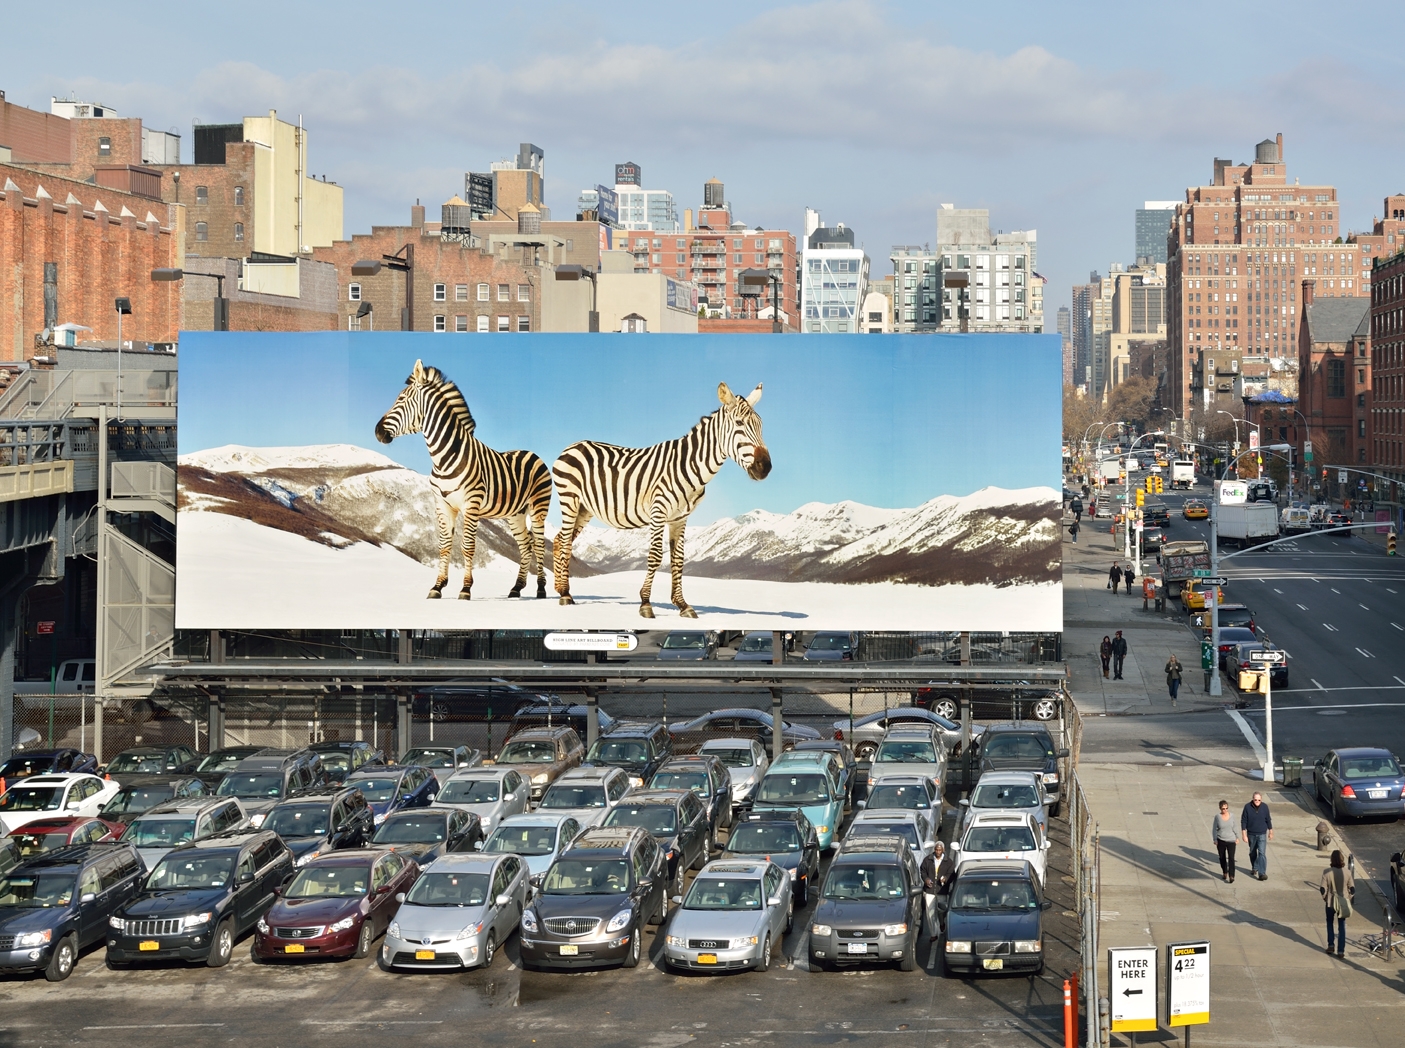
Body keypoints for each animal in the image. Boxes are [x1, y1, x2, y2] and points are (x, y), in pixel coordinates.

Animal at [376, 359, 550, 601]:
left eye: (401, 399)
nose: (377, 432)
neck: (444, 458)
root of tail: (532, 453)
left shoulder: (471, 504)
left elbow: (467, 546)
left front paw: (465, 589)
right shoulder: (442, 505)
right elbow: (444, 545)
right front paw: (437, 586)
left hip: (538, 508)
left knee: (540, 545)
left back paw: (541, 589)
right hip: (515, 513)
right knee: (526, 546)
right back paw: (516, 588)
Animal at [550, 379, 775, 615]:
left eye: (760, 425)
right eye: (739, 423)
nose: (765, 467)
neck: (690, 466)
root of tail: (573, 445)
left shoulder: (680, 518)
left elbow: (678, 559)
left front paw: (682, 605)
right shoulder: (658, 510)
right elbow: (656, 555)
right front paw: (645, 603)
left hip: (585, 508)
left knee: (559, 540)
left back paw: (562, 590)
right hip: (569, 500)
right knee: (564, 541)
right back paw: (565, 594)